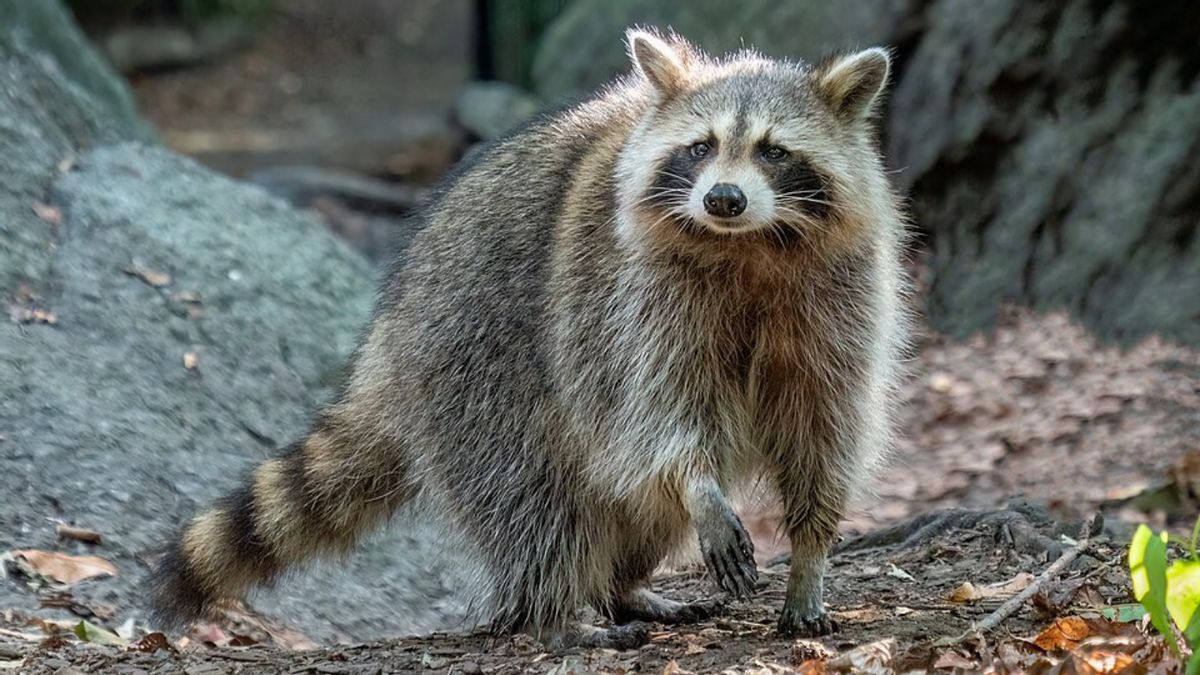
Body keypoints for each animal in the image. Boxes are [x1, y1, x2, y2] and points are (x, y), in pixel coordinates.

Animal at [149, 28, 909, 648]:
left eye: (774, 152)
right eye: (700, 148)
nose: (723, 198)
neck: (750, 244)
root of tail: (389, 335)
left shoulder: (840, 298)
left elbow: (825, 423)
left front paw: (810, 553)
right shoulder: (629, 298)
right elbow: (659, 411)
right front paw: (701, 488)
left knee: (630, 502)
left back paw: (624, 585)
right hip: (474, 358)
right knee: (533, 492)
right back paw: (553, 609)